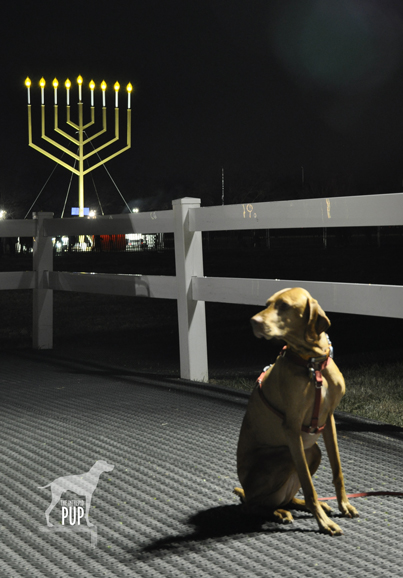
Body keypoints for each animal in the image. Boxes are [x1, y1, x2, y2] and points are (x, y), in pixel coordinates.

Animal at [234, 286, 360, 532]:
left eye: (284, 306)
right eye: (267, 304)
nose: (253, 322)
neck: (312, 363)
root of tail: (246, 490)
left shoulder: (328, 419)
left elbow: (337, 470)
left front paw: (343, 505)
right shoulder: (292, 428)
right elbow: (308, 484)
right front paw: (323, 522)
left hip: (313, 451)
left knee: (286, 497)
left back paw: (302, 506)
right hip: (284, 455)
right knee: (252, 506)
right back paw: (278, 512)